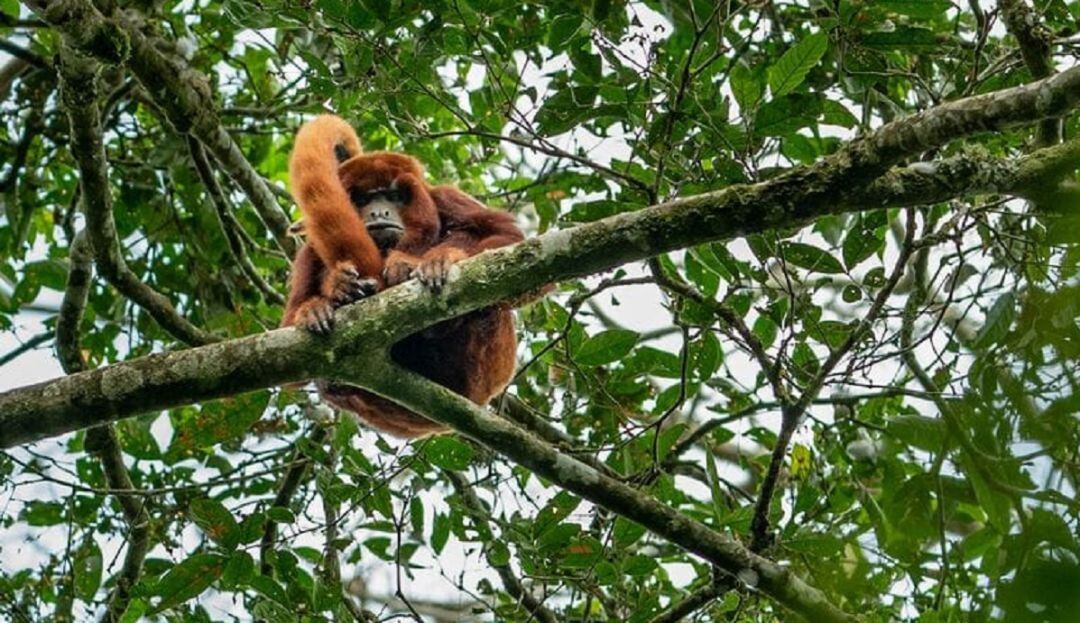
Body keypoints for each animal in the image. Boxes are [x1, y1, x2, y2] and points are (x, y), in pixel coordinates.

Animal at [282, 115, 524, 438]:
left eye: (393, 196)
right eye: (363, 200)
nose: (379, 212)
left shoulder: (444, 197)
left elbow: (508, 236)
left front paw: (435, 261)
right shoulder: (306, 254)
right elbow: (291, 361)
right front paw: (325, 298)